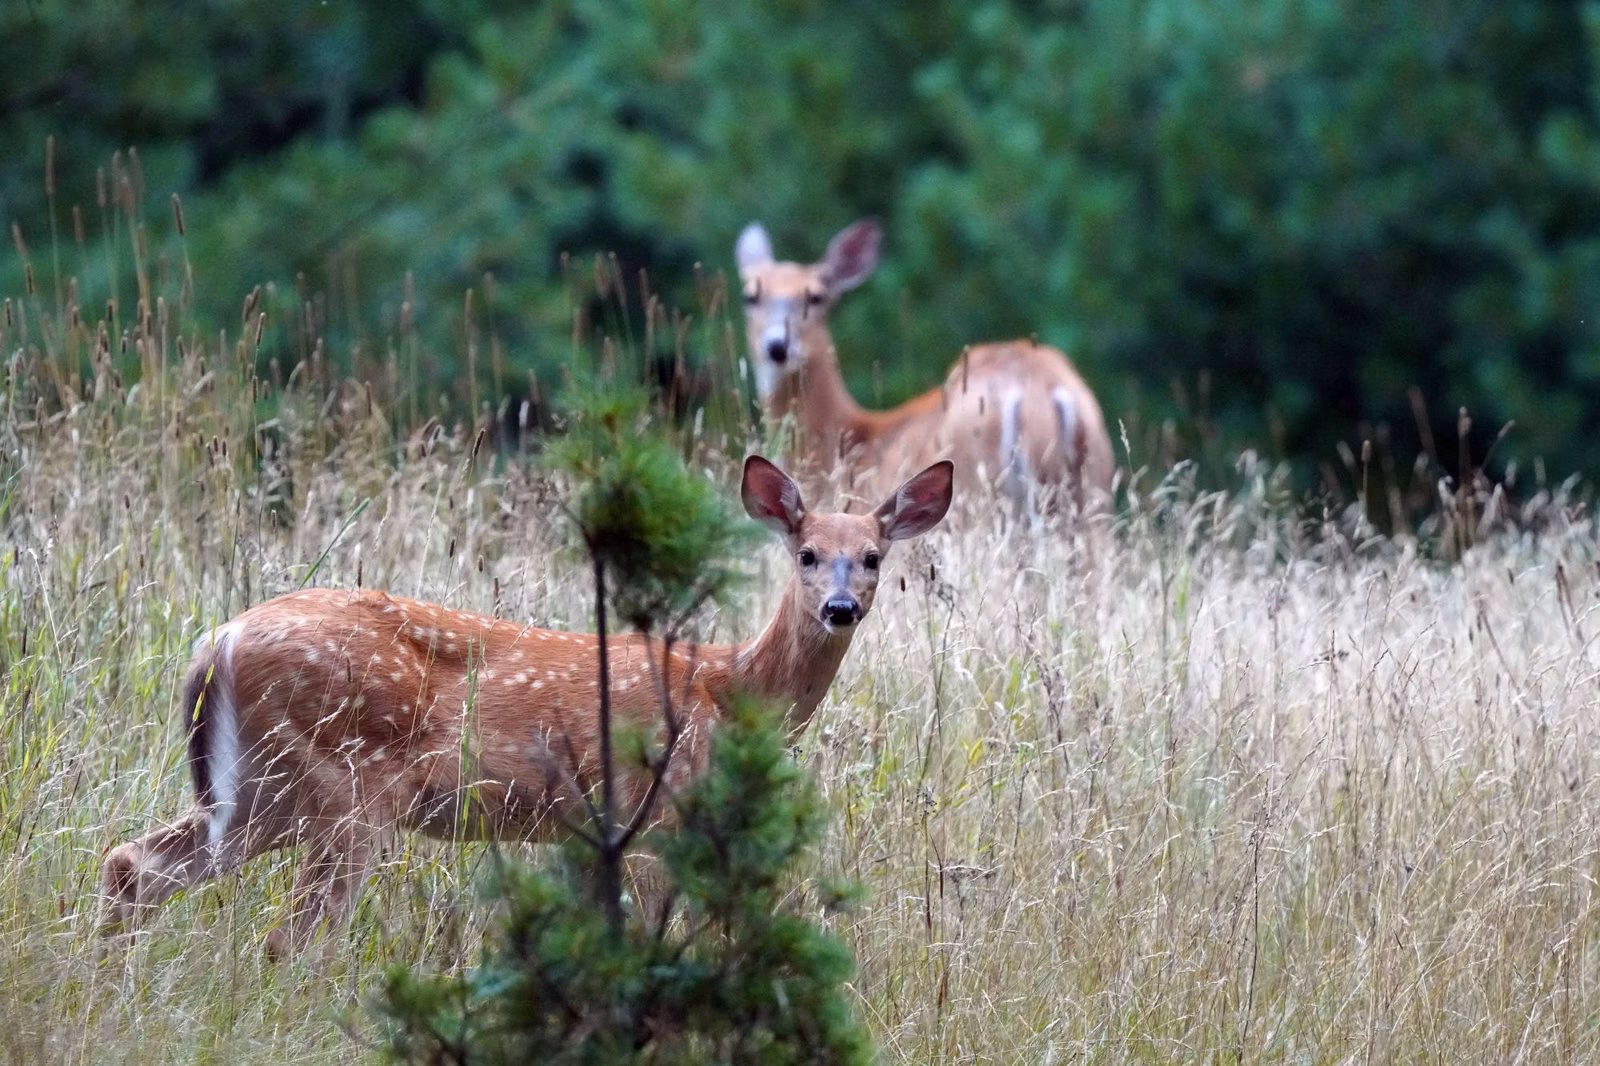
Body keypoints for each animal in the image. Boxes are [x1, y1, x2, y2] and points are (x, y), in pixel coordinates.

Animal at [98, 455, 952, 956]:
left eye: (873, 557)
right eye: (806, 554)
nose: (840, 607)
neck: (728, 687)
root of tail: (215, 642)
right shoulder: (652, 817)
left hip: (259, 789)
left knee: (134, 864)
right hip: (341, 784)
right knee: (294, 936)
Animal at [736, 218, 1114, 521]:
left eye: (816, 297)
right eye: (750, 295)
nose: (777, 345)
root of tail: (1040, 393)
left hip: (976, 496)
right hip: (1096, 488)